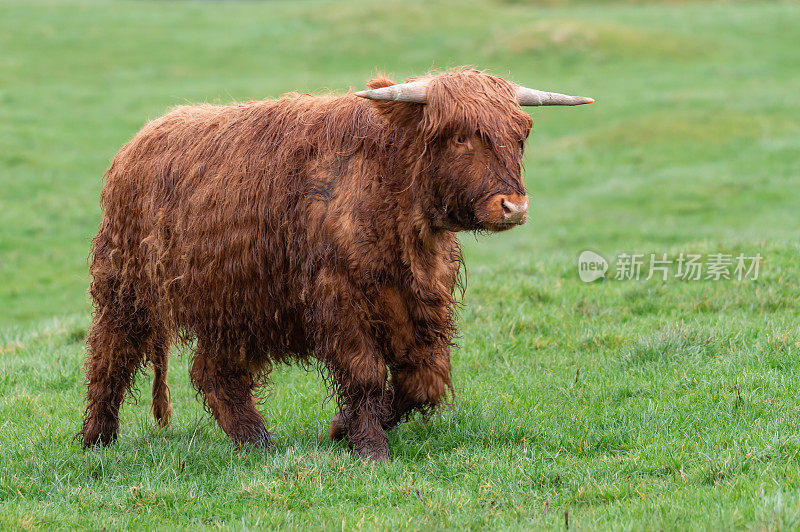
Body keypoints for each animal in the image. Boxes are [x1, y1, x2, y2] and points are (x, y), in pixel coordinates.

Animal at [79, 66, 592, 460]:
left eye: (521, 135)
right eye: (461, 136)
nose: (514, 206)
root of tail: (141, 139)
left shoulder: (420, 304)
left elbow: (421, 381)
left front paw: (341, 426)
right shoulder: (339, 300)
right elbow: (365, 373)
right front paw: (369, 446)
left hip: (233, 305)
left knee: (214, 372)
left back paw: (255, 440)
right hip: (126, 287)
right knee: (110, 356)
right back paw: (96, 440)